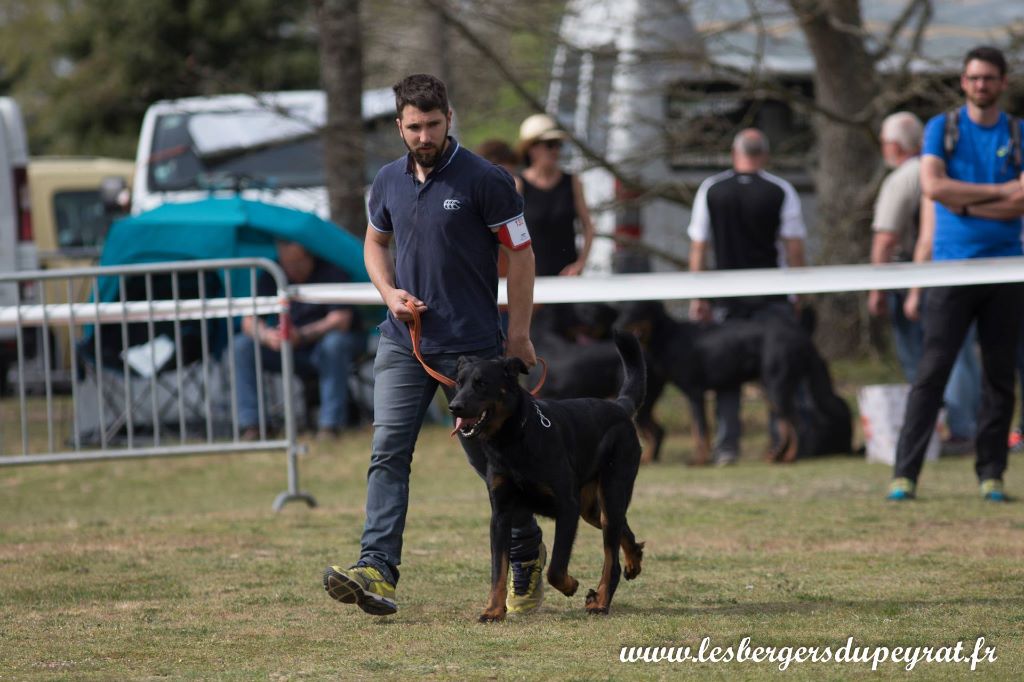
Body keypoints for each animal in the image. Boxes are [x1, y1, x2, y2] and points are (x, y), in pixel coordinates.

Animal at [450, 329, 643, 622]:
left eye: (481, 383)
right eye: (458, 383)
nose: (454, 406)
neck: (511, 439)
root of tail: (619, 407)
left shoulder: (567, 507)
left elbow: (556, 567)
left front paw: (571, 585)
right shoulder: (501, 515)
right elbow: (498, 569)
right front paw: (493, 610)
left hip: (611, 491)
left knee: (612, 558)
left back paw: (600, 601)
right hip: (592, 508)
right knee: (623, 528)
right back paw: (633, 561)